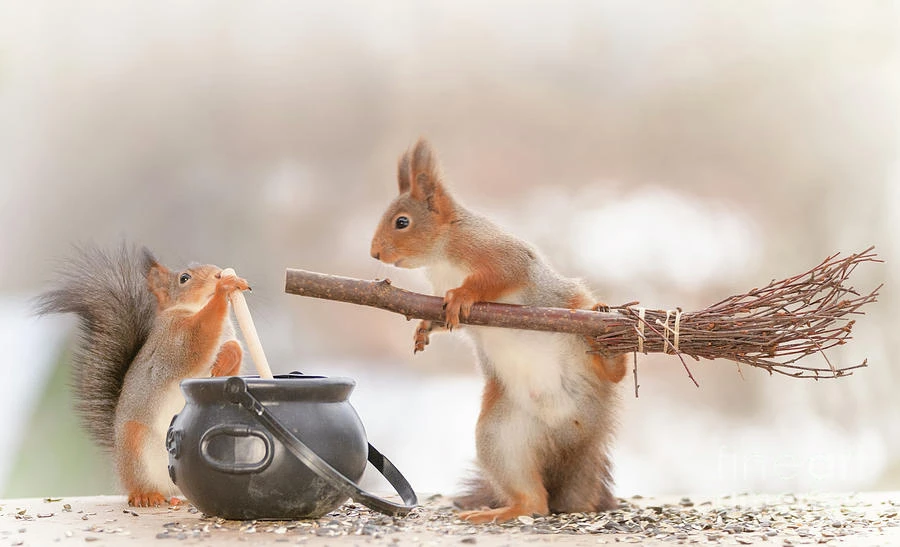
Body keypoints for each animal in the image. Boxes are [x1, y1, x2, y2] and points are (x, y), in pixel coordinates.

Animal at [37, 246, 250, 508]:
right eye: (184, 278)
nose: (219, 274)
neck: (192, 310)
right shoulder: (172, 342)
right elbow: (197, 339)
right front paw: (223, 289)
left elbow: (233, 358)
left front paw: (227, 357)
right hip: (135, 445)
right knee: (140, 484)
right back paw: (145, 495)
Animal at [370, 139, 628, 524]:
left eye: (402, 222)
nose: (374, 253)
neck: (442, 251)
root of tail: (581, 431)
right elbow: (440, 317)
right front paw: (423, 329)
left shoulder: (496, 253)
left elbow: (499, 274)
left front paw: (463, 295)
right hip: (501, 436)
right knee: (534, 501)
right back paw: (501, 511)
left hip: (580, 335)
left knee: (612, 373)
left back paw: (610, 351)